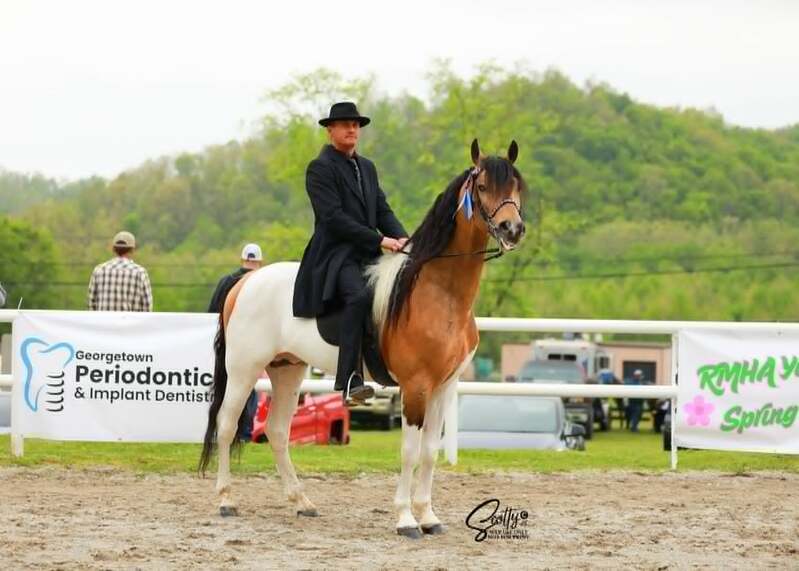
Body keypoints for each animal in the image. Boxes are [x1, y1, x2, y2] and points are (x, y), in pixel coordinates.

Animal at [199, 139, 526, 538]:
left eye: (515, 186)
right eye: (481, 187)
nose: (513, 228)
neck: (440, 293)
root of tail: (245, 281)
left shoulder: (444, 387)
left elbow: (430, 451)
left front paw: (428, 516)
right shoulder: (416, 387)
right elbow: (409, 451)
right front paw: (405, 519)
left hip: (287, 369)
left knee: (276, 431)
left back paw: (301, 502)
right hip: (244, 370)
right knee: (228, 425)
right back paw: (226, 500)